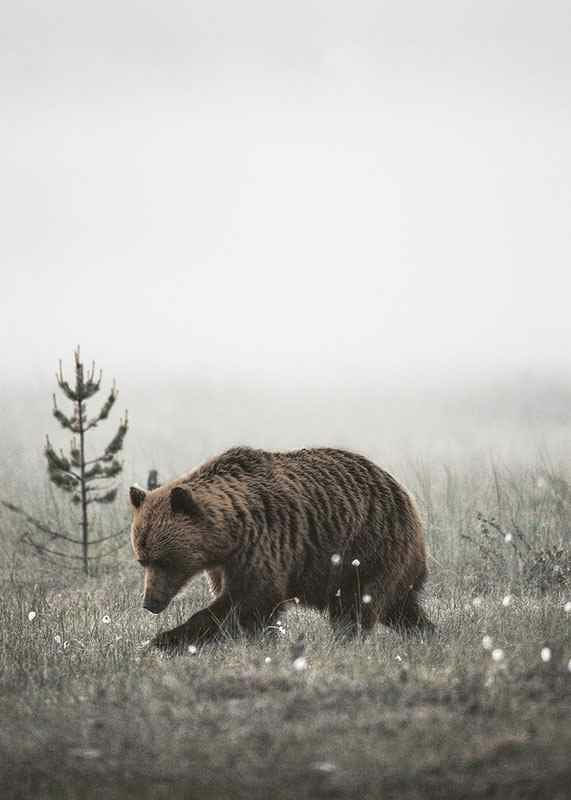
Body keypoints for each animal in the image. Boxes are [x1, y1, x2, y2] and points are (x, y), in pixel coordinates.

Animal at [128, 446, 433, 651]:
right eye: (142, 560)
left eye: (165, 560)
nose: (150, 603)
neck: (228, 536)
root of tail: (405, 494)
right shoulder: (222, 564)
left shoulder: (262, 545)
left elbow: (249, 600)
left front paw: (164, 639)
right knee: (401, 607)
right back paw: (428, 633)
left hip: (367, 549)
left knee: (357, 604)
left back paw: (344, 641)